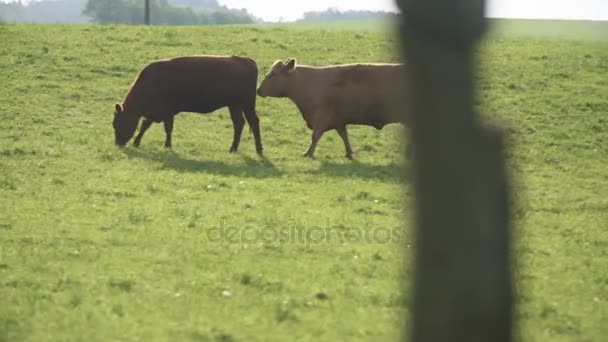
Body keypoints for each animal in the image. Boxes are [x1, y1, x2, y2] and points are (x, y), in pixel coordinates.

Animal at [114, 55, 264, 154]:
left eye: (118, 123)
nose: (118, 144)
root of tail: (246, 60)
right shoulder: (156, 113)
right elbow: (145, 125)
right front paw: (137, 142)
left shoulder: (167, 112)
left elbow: (167, 128)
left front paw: (167, 145)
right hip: (234, 105)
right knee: (239, 123)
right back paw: (233, 148)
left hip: (247, 104)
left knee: (253, 122)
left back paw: (259, 150)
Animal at [255, 57, 404, 159]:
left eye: (273, 74)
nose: (259, 90)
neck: (308, 82)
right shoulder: (338, 121)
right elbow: (344, 136)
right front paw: (349, 153)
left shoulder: (321, 117)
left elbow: (315, 136)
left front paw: (309, 153)